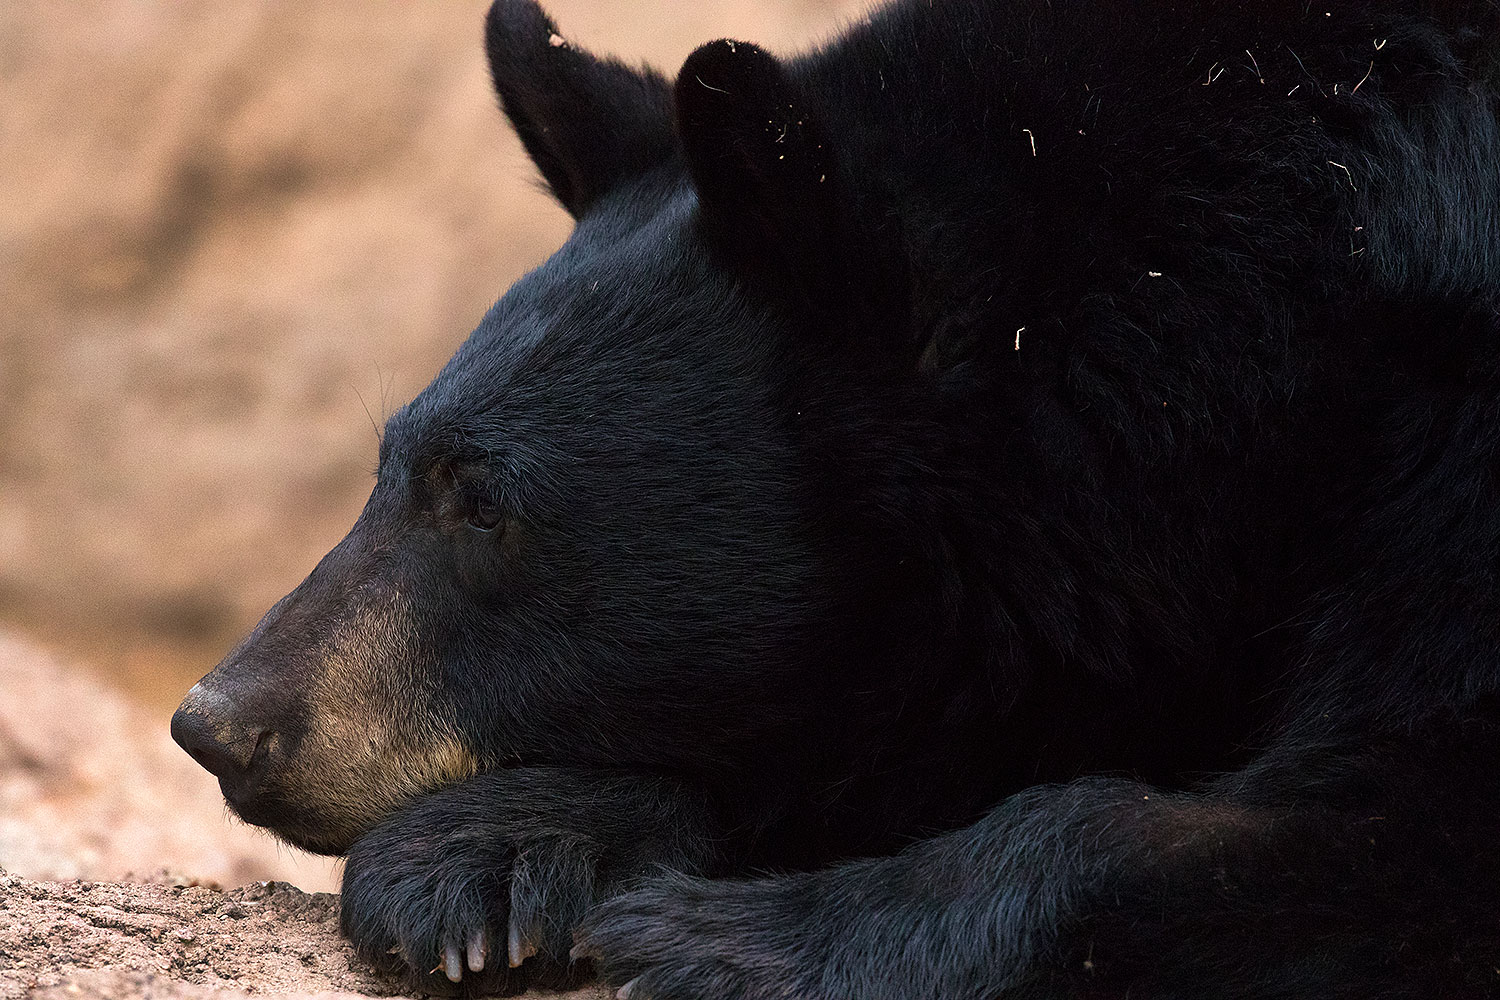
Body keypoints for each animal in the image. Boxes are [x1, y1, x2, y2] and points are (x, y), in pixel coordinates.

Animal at [171, 0, 1500, 996]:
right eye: (390, 466)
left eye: (483, 499)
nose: (222, 722)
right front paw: (483, 854)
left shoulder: (1450, 443)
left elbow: (1391, 812)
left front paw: (717, 940)